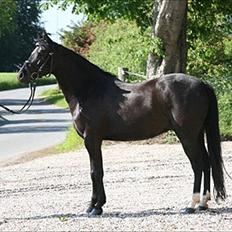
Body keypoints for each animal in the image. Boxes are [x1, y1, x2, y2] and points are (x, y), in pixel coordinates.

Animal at [18, 32, 227, 216]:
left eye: (42, 52)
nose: (21, 74)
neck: (89, 90)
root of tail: (202, 84)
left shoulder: (91, 139)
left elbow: (96, 172)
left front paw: (96, 207)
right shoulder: (93, 140)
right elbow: (96, 171)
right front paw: (94, 205)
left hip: (187, 135)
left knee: (198, 164)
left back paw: (191, 205)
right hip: (197, 134)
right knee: (207, 162)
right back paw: (203, 203)